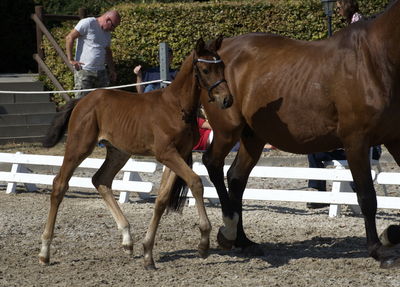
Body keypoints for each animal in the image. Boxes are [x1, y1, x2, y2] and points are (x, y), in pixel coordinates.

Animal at [39, 37, 233, 270]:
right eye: (205, 69)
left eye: (222, 66)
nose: (227, 100)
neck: (177, 107)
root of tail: (82, 101)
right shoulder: (166, 154)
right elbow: (195, 182)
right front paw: (203, 242)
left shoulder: (178, 154)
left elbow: (162, 199)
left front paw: (148, 252)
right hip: (79, 146)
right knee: (59, 184)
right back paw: (44, 251)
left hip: (119, 152)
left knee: (100, 180)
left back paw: (127, 240)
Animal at [202, 0, 400, 270]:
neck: (377, 60)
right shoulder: (356, 141)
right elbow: (367, 197)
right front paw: (378, 249)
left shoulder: (395, 139)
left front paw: (391, 234)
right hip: (226, 130)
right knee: (212, 164)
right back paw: (228, 232)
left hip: (253, 136)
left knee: (236, 178)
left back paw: (243, 241)